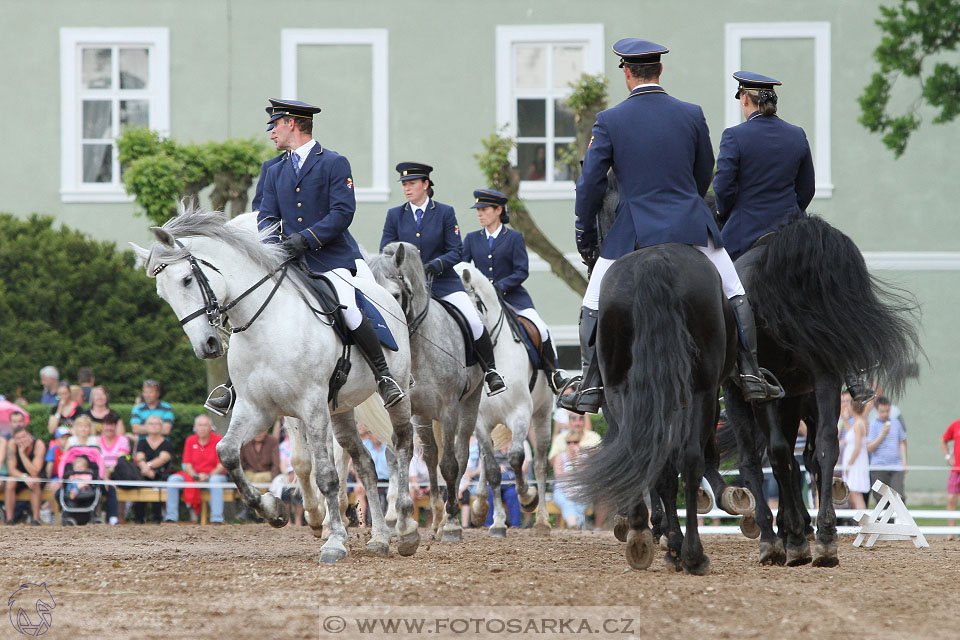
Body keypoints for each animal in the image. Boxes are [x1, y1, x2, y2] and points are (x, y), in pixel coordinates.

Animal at [129, 202, 418, 564]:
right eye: (162, 293)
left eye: (186, 279)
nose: (206, 345)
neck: (264, 324)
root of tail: (384, 295)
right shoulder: (257, 408)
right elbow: (227, 453)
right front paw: (273, 509)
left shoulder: (311, 406)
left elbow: (326, 474)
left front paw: (335, 541)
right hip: (341, 409)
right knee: (364, 462)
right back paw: (379, 538)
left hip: (395, 394)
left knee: (402, 444)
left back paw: (405, 528)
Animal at [458, 264, 556, 536]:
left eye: (475, 305)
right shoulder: (480, 421)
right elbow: (492, 469)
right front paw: (496, 520)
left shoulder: (520, 414)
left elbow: (515, 458)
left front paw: (527, 498)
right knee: (484, 459)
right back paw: (484, 509)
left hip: (542, 415)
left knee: (541, 464)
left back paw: (542, 521)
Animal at [568, 242, 736, 572]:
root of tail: (654, 260)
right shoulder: (705, 394)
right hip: (700, 391)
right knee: (685, 461)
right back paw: (688, 551)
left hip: (623, 392)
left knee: (647, 458)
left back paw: (648, 538)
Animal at [724, 215, 920, 564]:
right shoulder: (797, 394)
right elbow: (800, 456)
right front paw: (796, 528)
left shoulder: (758, 396)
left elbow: (765, 459)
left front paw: (784, 532)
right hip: (822, 377)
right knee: (824, 445)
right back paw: (823, 538)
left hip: (767, 391)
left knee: (777, 453)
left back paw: (788, 538)